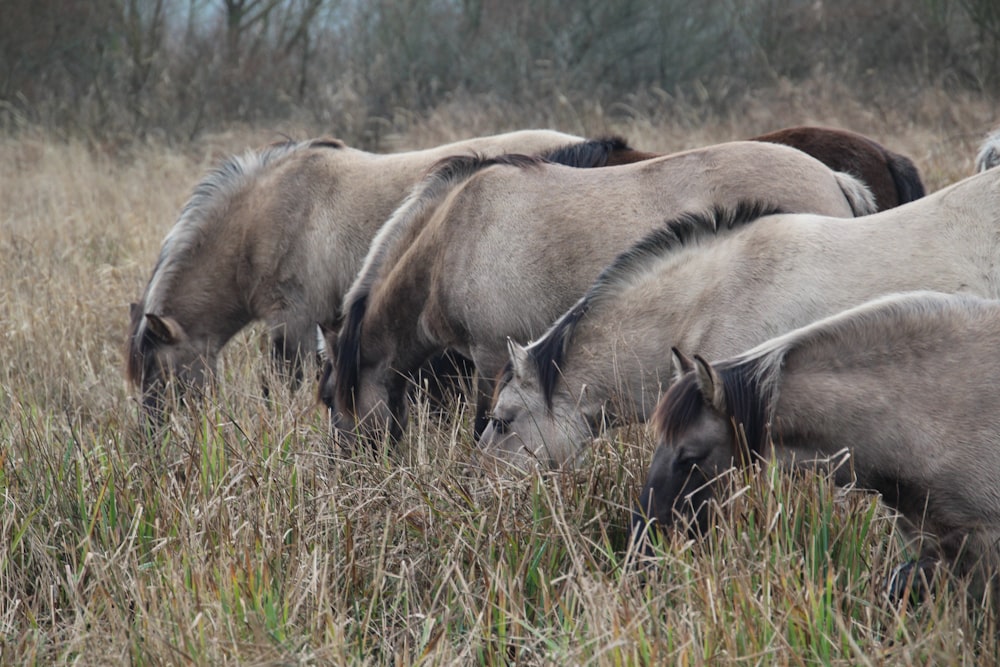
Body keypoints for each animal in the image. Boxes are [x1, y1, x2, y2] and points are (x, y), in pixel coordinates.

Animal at [324, 140, 880, 448]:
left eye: (330, 399)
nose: (344, 469)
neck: (454, 233)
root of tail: (836, 178)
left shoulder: (490, 357)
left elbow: (484, 421)